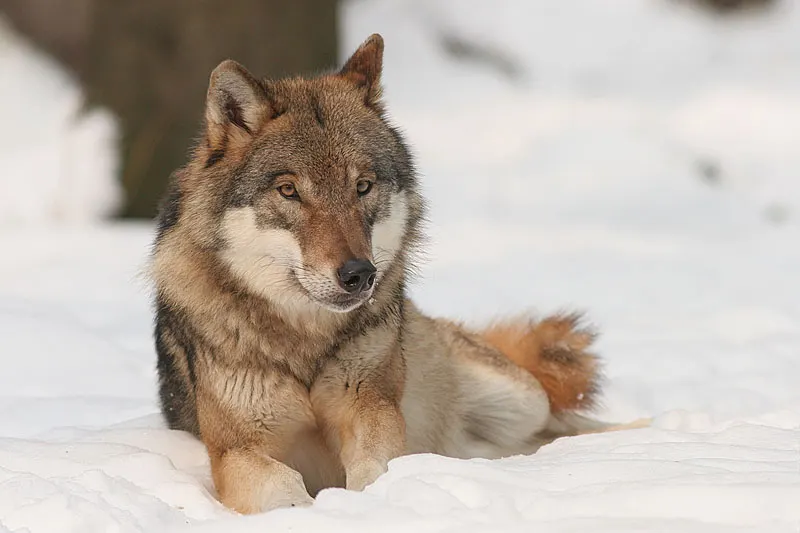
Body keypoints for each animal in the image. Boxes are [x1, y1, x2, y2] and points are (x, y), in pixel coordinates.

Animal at [151, 34, 646, 514]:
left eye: (362, 186)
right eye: (289, 191)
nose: (358, 274)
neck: (305, 343)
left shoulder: (374, 410)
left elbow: (376, 469)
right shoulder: (235, 449)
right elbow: (280, 487)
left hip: (523, 400)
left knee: (569, 425)